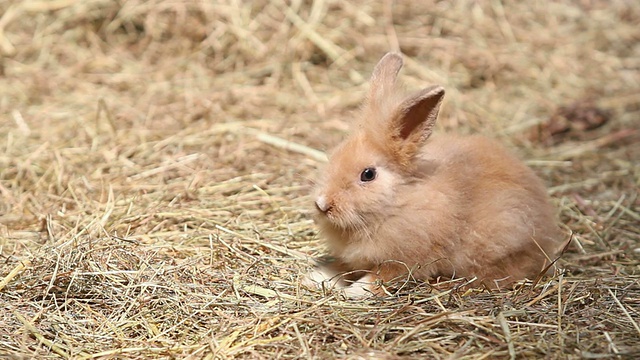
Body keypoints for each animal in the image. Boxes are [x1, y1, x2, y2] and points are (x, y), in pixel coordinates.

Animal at [308, 52, 564, 296]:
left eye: (368, 174)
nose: (323, 204)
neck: (397, 204)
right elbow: (344, 267)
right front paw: (318, 276)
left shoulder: (407, 259)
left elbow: (379, 277)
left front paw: (354, 290)